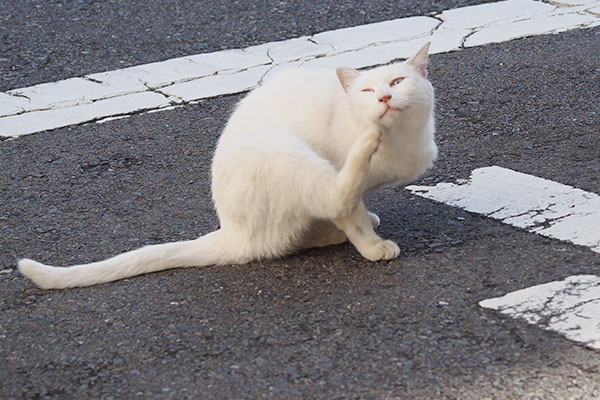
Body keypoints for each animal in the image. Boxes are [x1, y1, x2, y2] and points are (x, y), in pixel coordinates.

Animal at [17, 43, 436, 288]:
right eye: (367, 90)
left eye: (398, 81)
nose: (383, 98)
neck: (402, 141)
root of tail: (232, 232)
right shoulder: (340, 174)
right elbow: (351, 213)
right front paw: (372, 246)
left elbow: (355, 210)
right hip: (281, 148)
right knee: (334, 196)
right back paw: (365, 152)